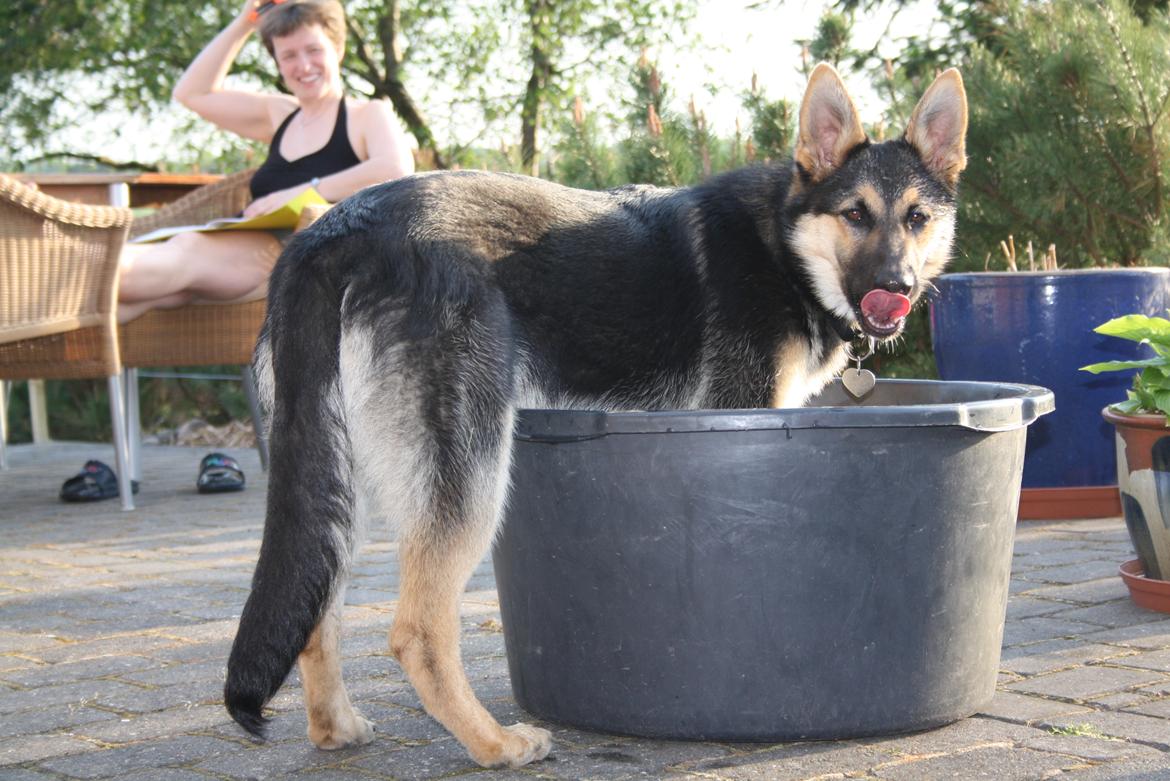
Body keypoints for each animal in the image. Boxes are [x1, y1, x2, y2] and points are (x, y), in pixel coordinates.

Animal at [225, 62, 968, 766]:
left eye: (917, 218)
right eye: (855, 214)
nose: (896, 290)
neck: (784, 245)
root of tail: (332, 231)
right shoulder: (747, 412)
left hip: (336, 476)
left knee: (316, 602)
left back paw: (335, 727)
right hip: (470, 475)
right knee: (417, 632)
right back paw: (495, 744)